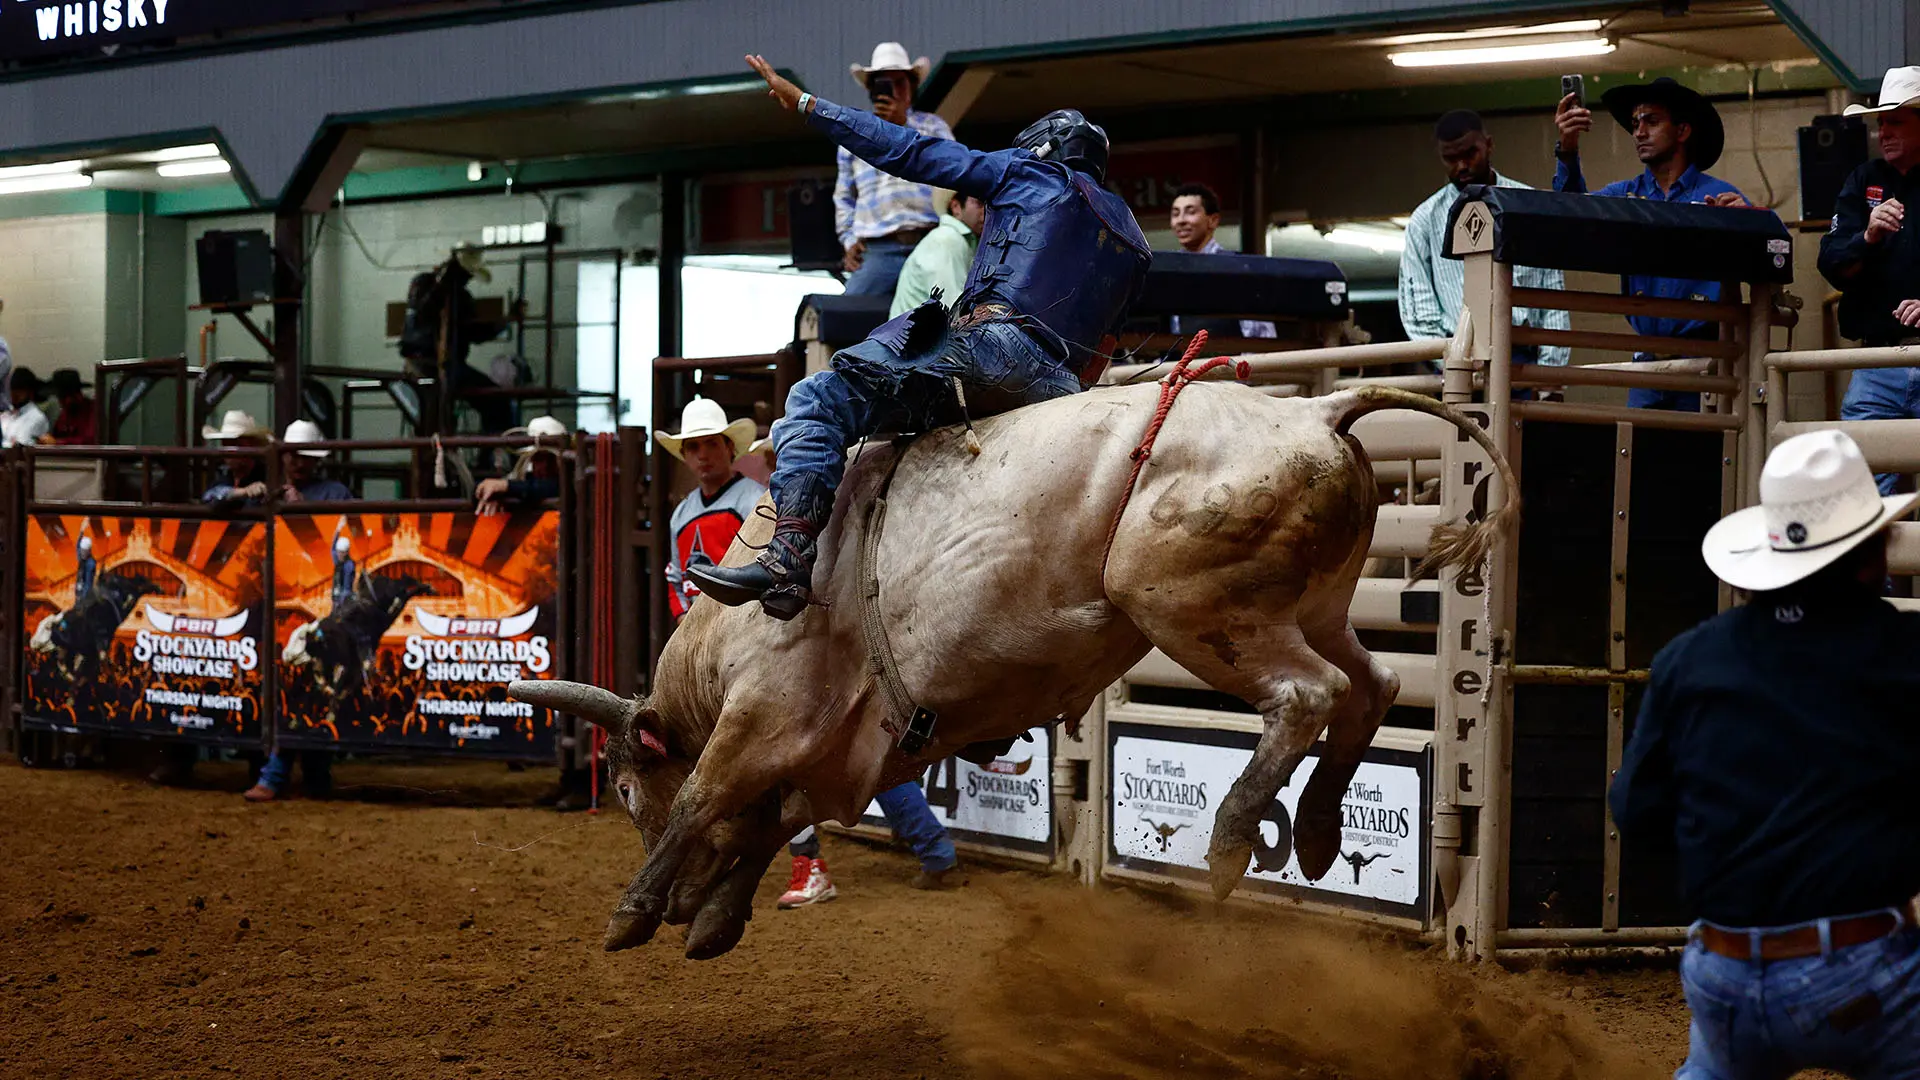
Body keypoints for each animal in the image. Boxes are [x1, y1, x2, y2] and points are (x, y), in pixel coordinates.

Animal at [510, 382, 1512, 953]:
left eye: (626, 791)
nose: (682, 906)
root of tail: (1312, 410)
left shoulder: (767, 714)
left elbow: (708, 797)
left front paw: (636, 911)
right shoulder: (849, 749)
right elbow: (768, 818)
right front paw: (713, 922)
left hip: (1194, 609)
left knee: (1309, 695)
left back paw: (1235, 838)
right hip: (1315, 607)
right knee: (1373, 685)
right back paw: (1312, 830)